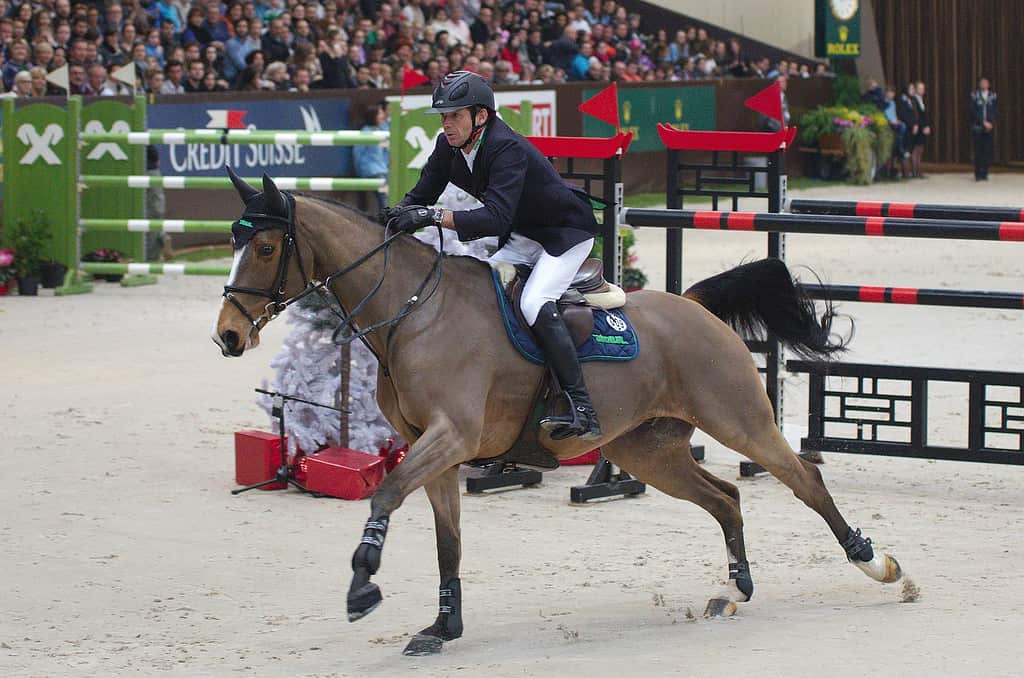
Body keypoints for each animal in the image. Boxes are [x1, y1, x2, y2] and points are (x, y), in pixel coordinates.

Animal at [211, 174, 901, 659]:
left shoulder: (450, 436)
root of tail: (695, 307)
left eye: (266, 246)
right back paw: (734, 591)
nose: (227, 337)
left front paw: (363, 587)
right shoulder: (437, 451)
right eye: (235, 243)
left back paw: (876, 563)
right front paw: (443, 625)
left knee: (803, 479)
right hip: (645, 449)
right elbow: (447, 541)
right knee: (725, 497)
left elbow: (383, 496)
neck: (413, 311)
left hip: (737, 419)